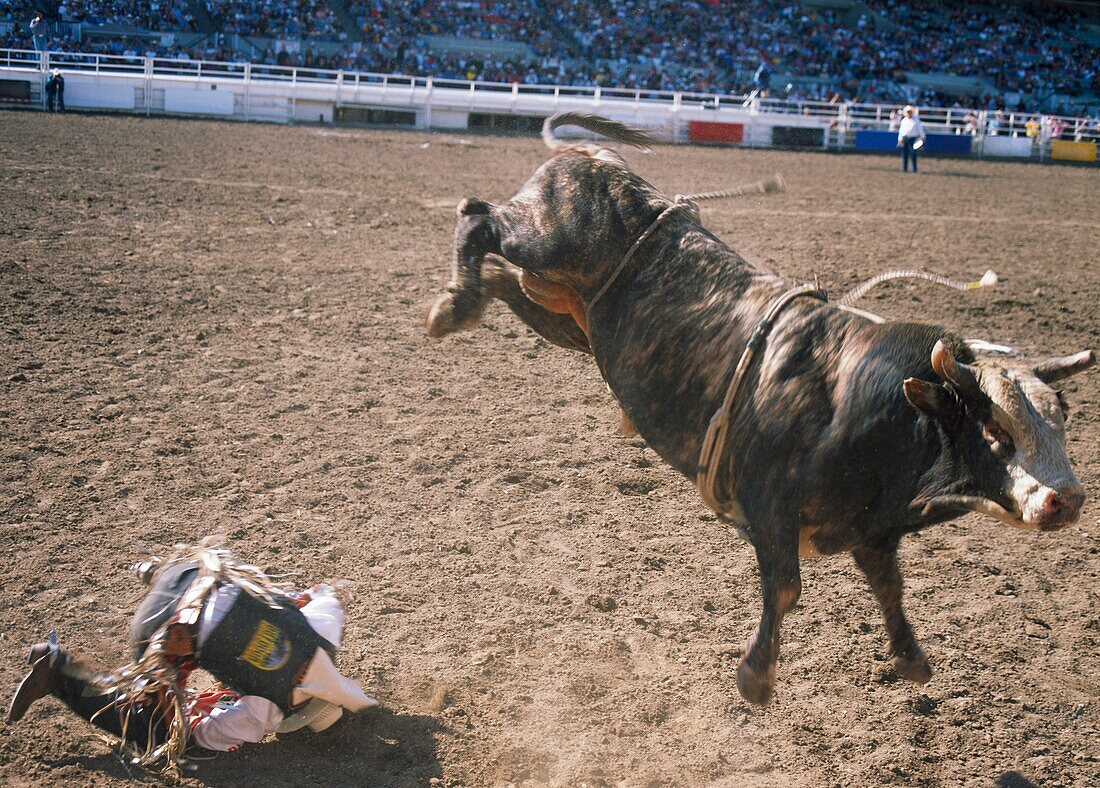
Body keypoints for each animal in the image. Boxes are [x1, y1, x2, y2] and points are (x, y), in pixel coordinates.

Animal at [424, 112, 1095, 708]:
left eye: (1061, 424)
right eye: (995, 430)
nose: (1066, 500)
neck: (871, 402)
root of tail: (596, 159)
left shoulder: (870, 526)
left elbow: (888, 584)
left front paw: (910, 658)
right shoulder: (769, 499)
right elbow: (788, 587)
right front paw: (757, 676)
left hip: (565, 311)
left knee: (504, 277)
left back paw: (463, 304)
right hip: (543, 238)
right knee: (477, 217)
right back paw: (450, 303)